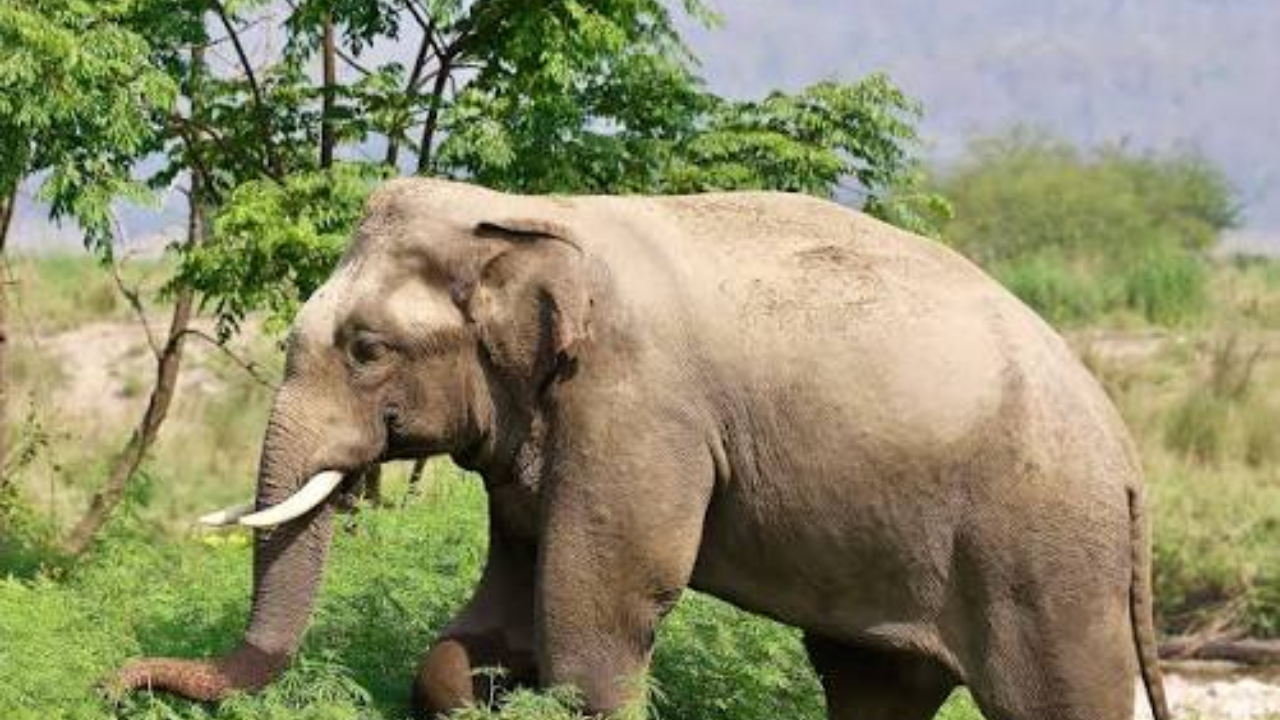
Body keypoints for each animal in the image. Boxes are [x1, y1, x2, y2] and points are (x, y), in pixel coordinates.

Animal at [117, 178, 1172, 720]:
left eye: (367, 350)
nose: (113, 683)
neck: (524, 214)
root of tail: (1128, 463)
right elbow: (501, 607)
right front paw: (475, 689)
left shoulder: (639, 407)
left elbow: (604, 611)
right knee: (874, 685)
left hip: (1043, 556)